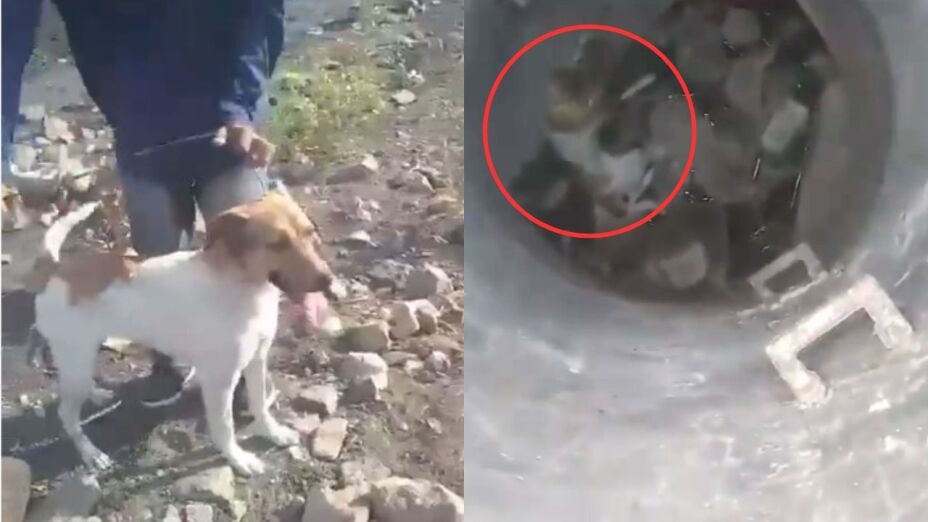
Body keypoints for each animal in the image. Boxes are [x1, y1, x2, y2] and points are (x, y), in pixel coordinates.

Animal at [30, 193, 336, 474]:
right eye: (277, 244)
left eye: (310, 233)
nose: (328, 280)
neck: (240, 284)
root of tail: (56, 270)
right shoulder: (219, 380)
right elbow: (224, 427)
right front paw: (237, 459)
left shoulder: (257, 359)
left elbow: (260, 403)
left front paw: (271, 432)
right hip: (76, 358)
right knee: (66, 414)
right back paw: (90, 453)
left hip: (82, 356)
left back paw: (97, 395)